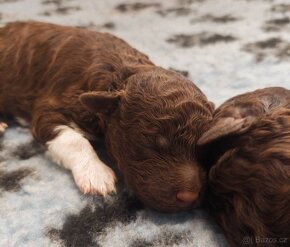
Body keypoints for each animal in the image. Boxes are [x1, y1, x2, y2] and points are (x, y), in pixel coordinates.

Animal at [0, 21, 213, 212]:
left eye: (202, 151)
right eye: (151, 145)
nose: (189, 197)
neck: (119, 74)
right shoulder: (51, 108)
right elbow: (75, 141)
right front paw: (96, 174)